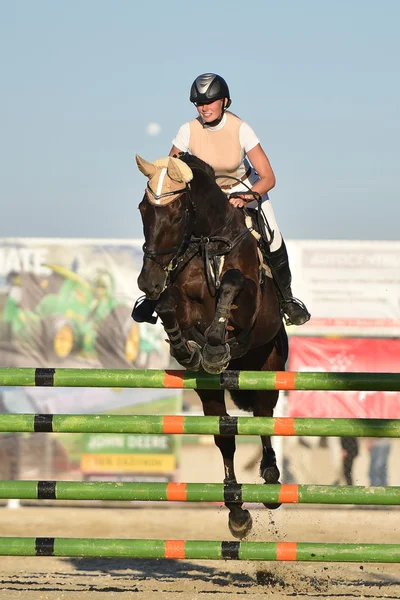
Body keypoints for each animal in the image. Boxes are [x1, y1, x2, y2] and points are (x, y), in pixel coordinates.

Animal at [136, 152, 290, 536]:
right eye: (143, 209)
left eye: (177, 214)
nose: (147, 281)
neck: (210, 241)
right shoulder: (180, 301)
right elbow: (168, 304)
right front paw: (186, 349)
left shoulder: (249, 307)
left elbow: (232, 282)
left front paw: (218, 345)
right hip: (209, 390)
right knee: (225, 435)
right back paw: (237, 512)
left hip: (268, 368)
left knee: (263, 417)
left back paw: (271, 481)